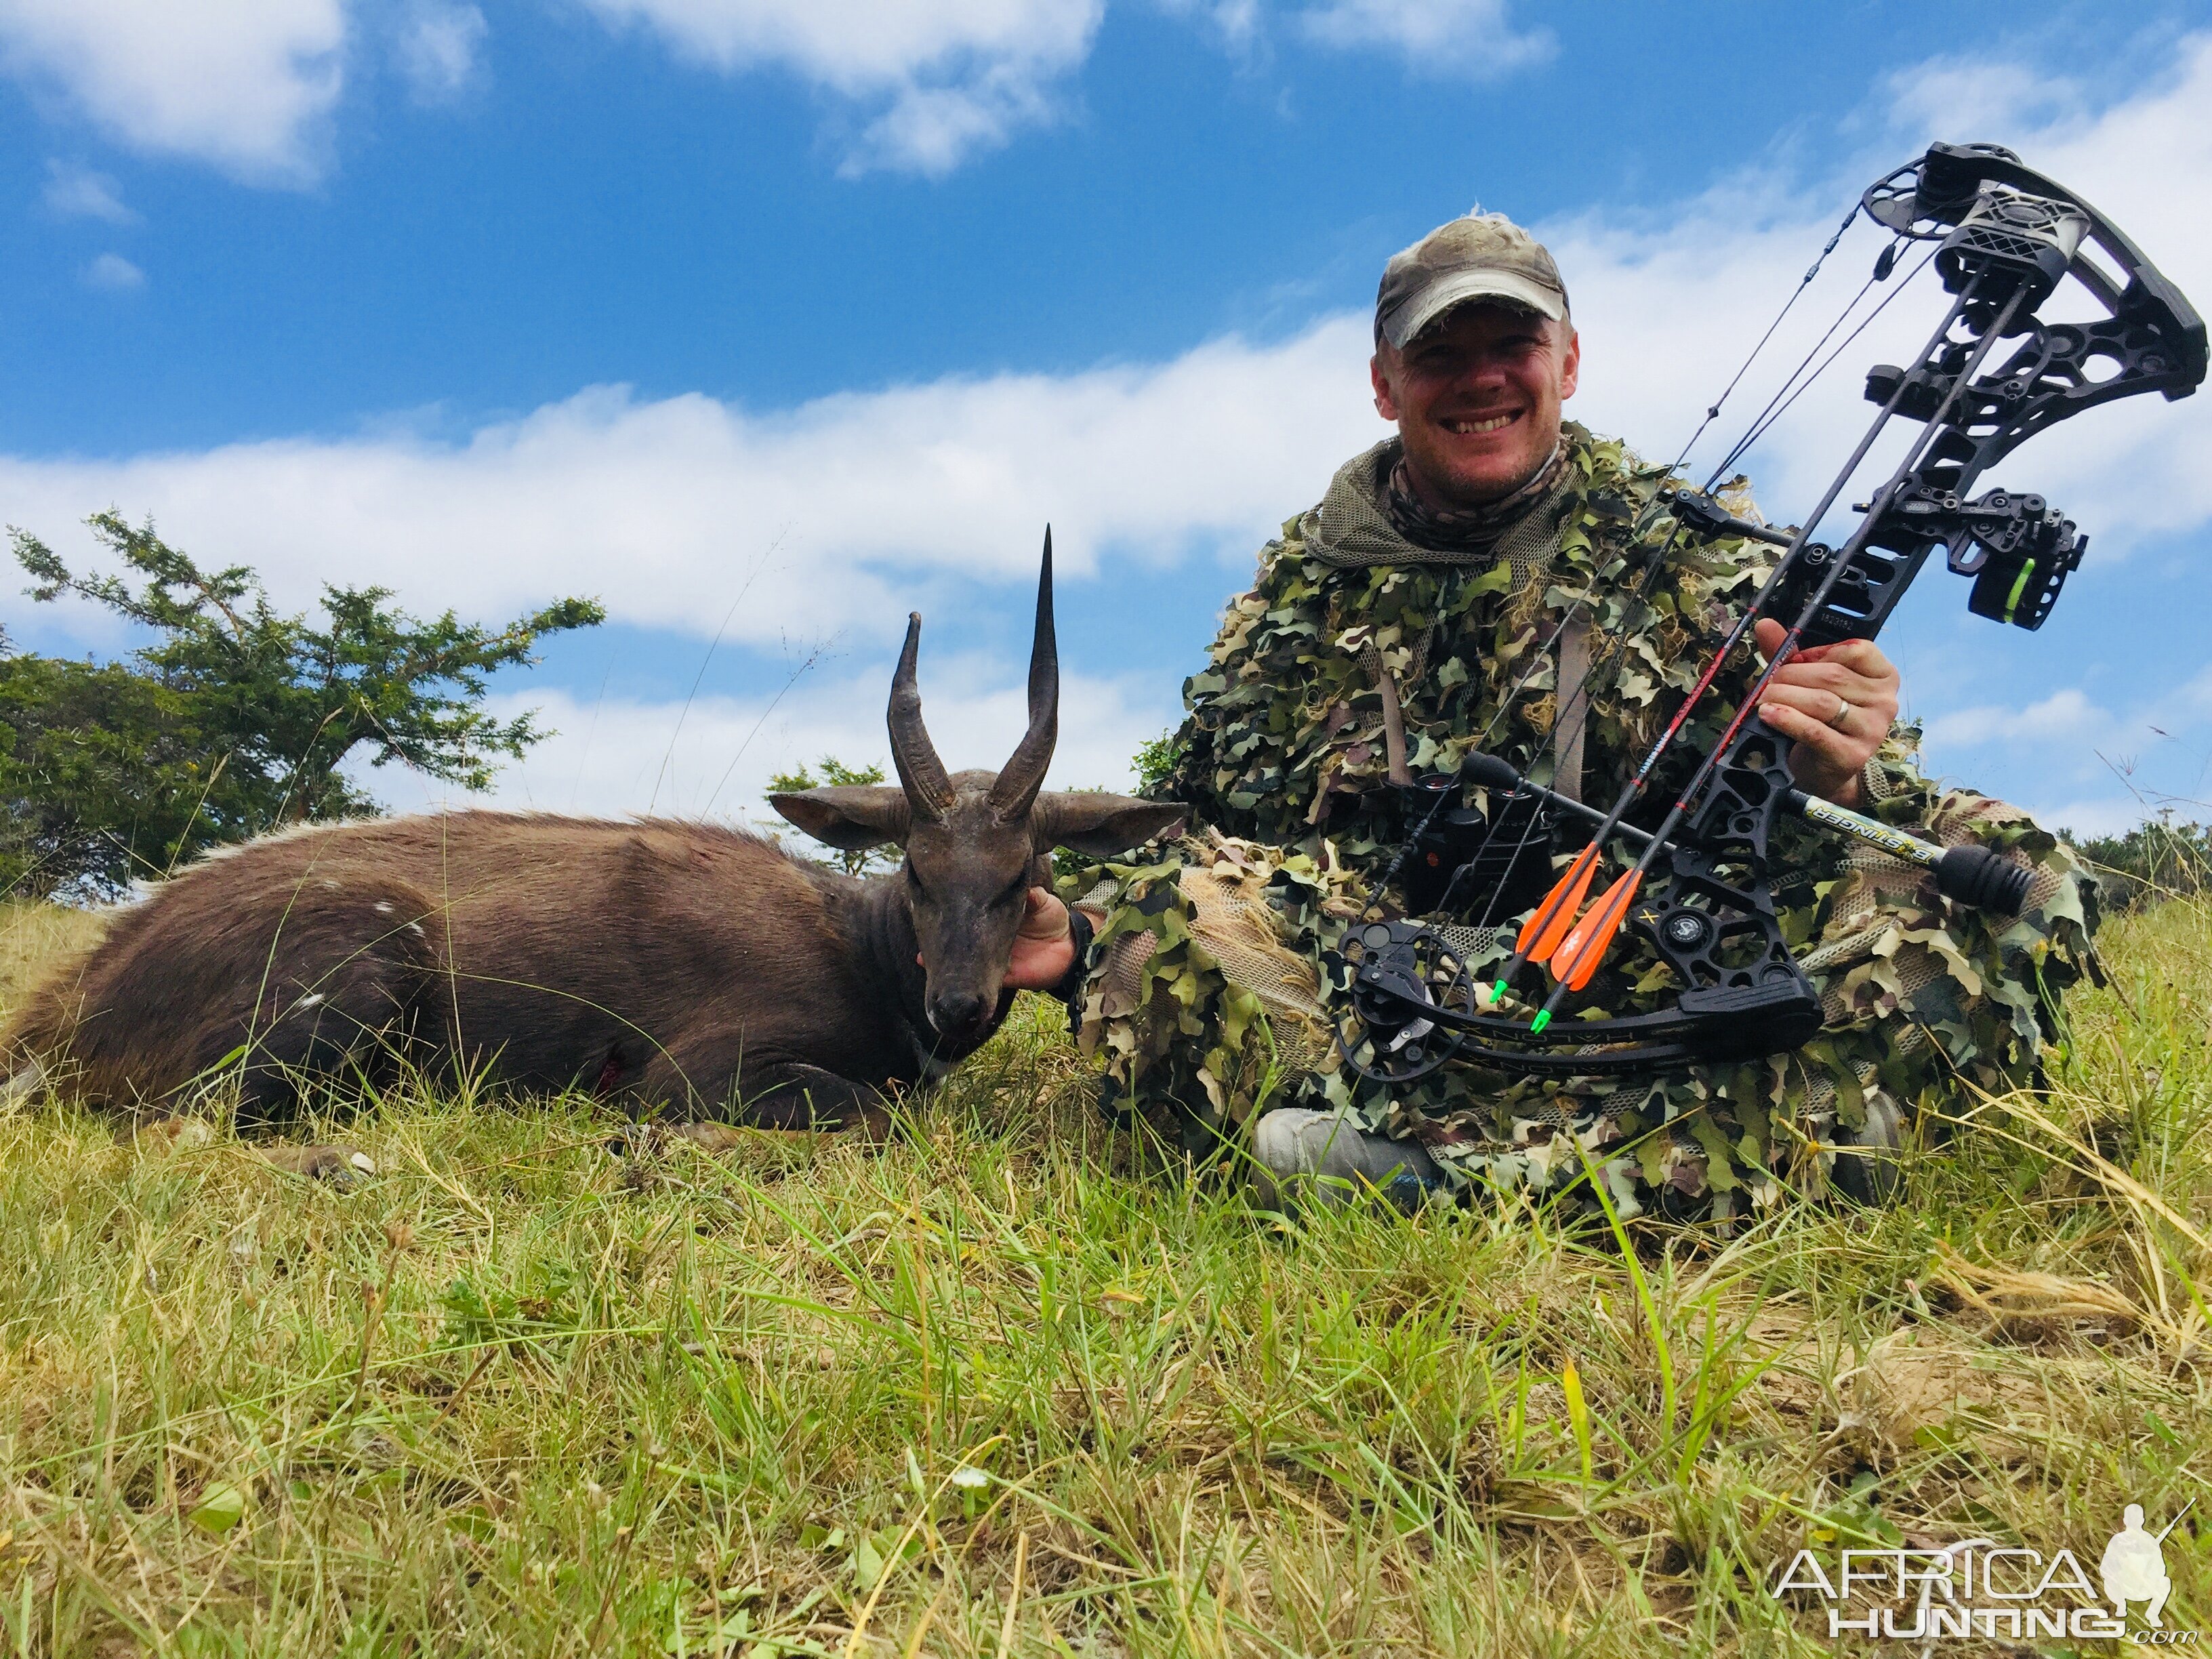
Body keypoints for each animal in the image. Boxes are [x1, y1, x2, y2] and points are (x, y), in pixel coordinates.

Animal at [4, 546, 1176, 1159]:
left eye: (1022, 877)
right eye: (918, 871)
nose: (960, 1007)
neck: (864, 955)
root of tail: (60, 1014)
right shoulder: (698, 1069)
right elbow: (873, 1110)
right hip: (355, 976)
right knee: (193, 1125)